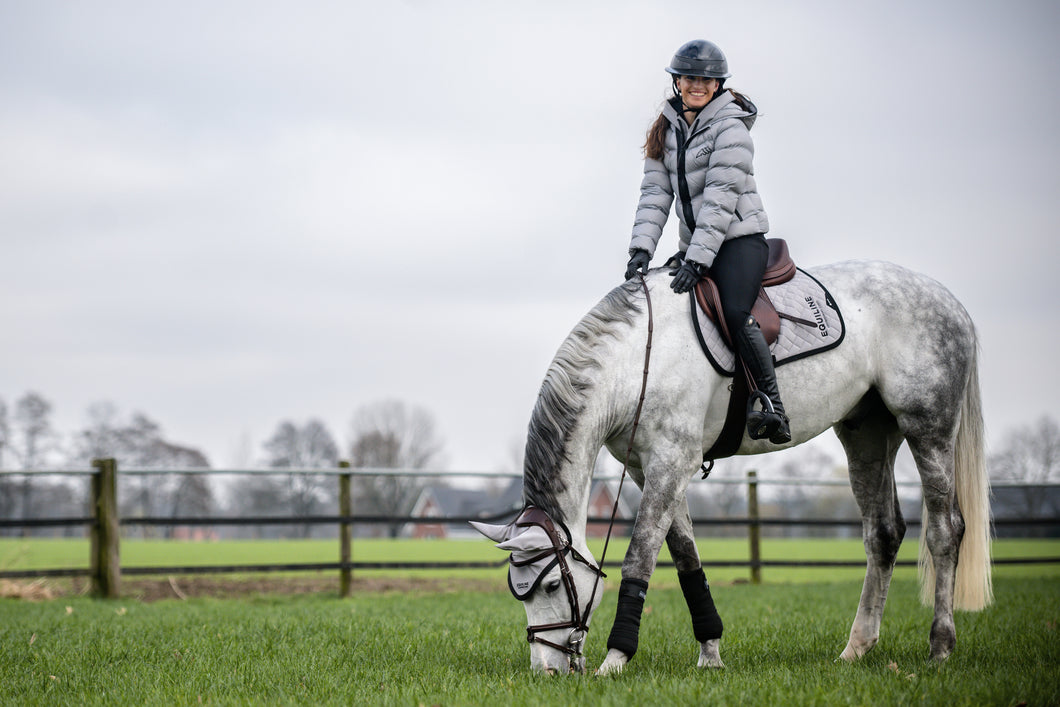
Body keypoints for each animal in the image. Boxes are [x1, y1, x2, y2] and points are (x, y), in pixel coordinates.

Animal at [474, 259, 992, 674]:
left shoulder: (670, 462)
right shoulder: (650, 468)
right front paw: (710, 654)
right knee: (883, 534)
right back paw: (856, 649)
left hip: (928, 428)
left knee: (945, 530)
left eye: (551, 585)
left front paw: (616, 660)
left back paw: (940, 647)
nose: (547, 670)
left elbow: (640, 557)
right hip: (865, 433)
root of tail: (950, 302)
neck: (638, 361)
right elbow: (686, 557)